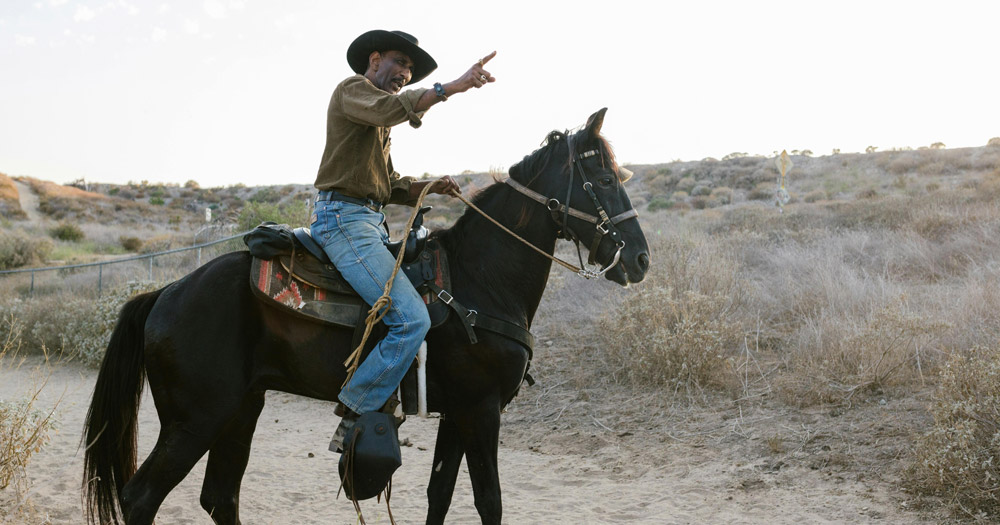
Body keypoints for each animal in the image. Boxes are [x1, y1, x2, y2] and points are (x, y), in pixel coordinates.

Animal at [84, 108, 648, 520]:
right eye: (602, 176)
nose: (640, 259)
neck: (480, 279)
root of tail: (165, 292)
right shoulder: (482, 410)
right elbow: (490, 502)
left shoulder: (457, 413)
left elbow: (440, 494)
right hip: (197, 417)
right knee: (142, 497)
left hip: (242, 407)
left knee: (220, 497)